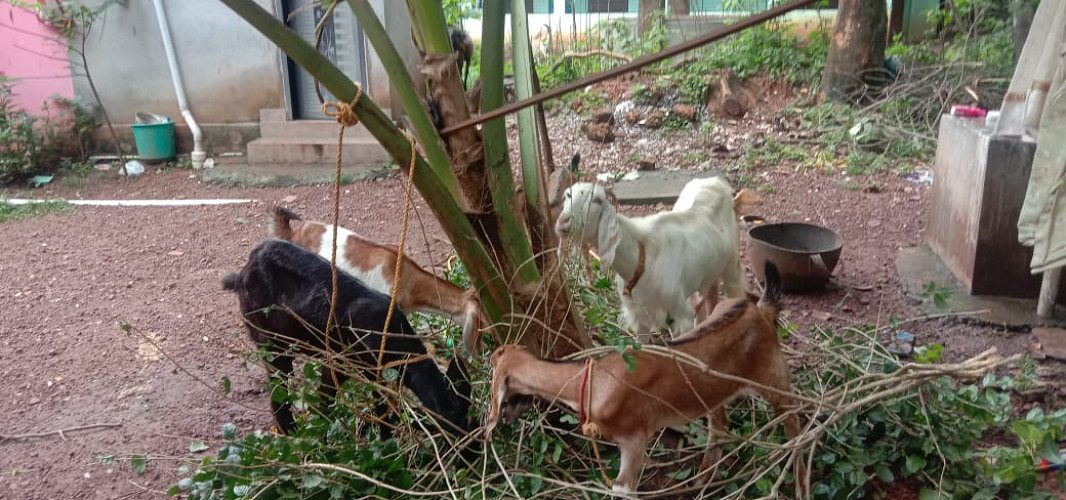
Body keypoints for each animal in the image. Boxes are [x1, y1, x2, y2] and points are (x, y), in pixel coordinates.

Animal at [222, 239, 473, 436]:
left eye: (471, 419)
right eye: (452, 423)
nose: (471, 454)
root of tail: (240, 275)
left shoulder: (373, 372)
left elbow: (378, 405)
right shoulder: (340, 361)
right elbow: (329, 402)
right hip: (269, 341)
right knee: (277, 390)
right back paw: (291, 436)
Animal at [485, 262, 802, 495]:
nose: (501, 421)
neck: (592, 381)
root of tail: (761, 310)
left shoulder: (634, 439)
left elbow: (622, 489)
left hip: (772, 375)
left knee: (794, 419)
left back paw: (798, 479)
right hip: (713, 390)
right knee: (720, 425)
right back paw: (702, 481)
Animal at [555, 176, 750, 341]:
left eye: (597, 200)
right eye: (567, 195)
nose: (563, 221)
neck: (642, 258)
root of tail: (716, 180)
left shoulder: (680, 314)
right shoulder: (640, 315)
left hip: (733, 266)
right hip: (706, 273)